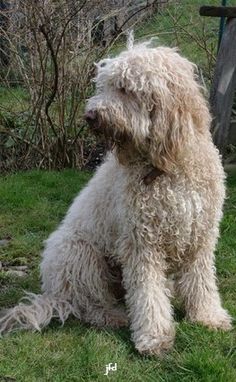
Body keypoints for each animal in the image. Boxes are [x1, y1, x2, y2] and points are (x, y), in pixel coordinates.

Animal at [0, 44, 232, 356]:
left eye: (125, 88)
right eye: (104, 85)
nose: (90, 115)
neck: (165, 168)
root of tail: (54, 292)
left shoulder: (201, 235)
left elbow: (201, 280)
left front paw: (208, 316)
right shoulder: (141, 242)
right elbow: (147, 294)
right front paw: (154, 337)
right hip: (78, 252)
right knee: (89, 305)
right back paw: (115, 316)